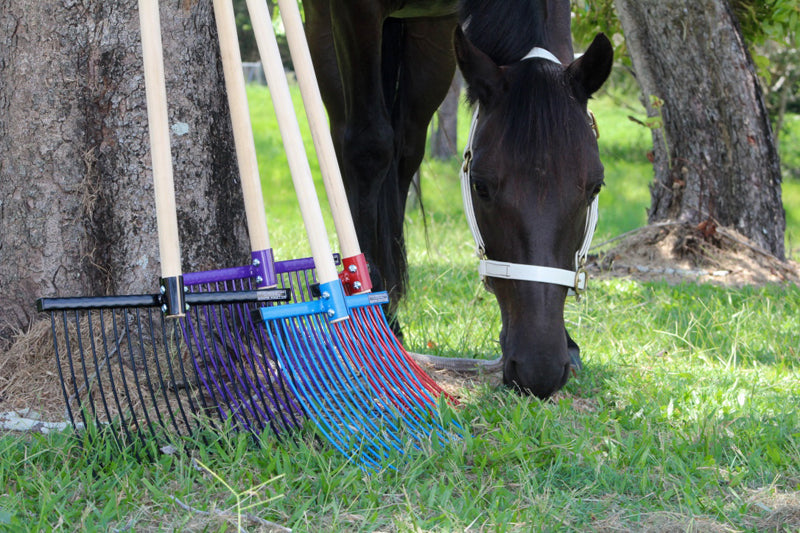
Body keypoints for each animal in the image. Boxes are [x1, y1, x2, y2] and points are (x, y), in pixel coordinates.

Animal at [304, 0, 612, 396]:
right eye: (480, 186)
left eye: (595, 188)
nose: (539, 367)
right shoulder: (352, 13)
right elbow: (367, 147)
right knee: (346, 138)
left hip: (431, 38)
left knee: (405, 148)